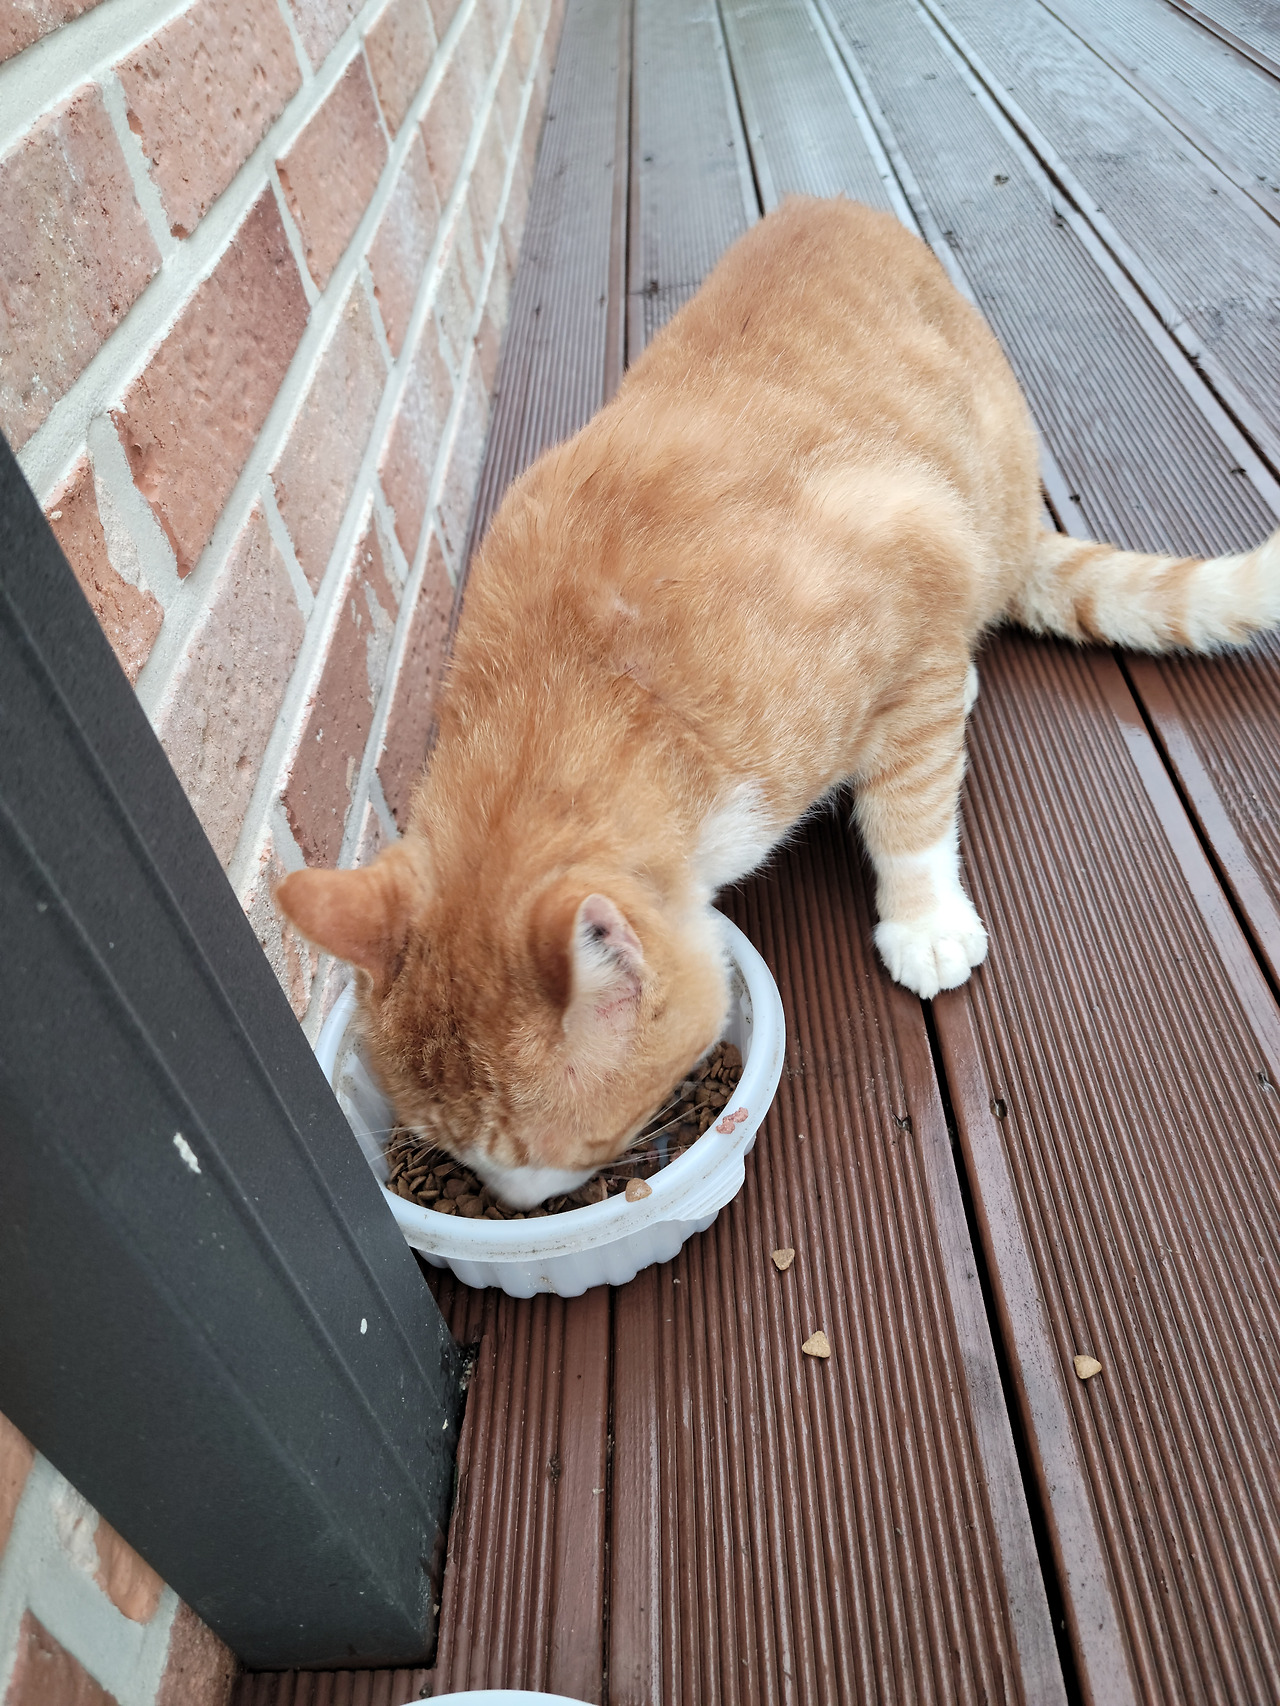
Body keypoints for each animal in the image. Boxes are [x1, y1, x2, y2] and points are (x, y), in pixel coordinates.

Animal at [277, 195, 1280, 1207]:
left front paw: (922, 920)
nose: (519, 1206)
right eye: (450, 1153)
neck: (597, 683)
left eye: (564, 1147)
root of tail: (828, 203)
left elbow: (911, 812)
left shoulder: (912, 591)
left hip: (980, 517)